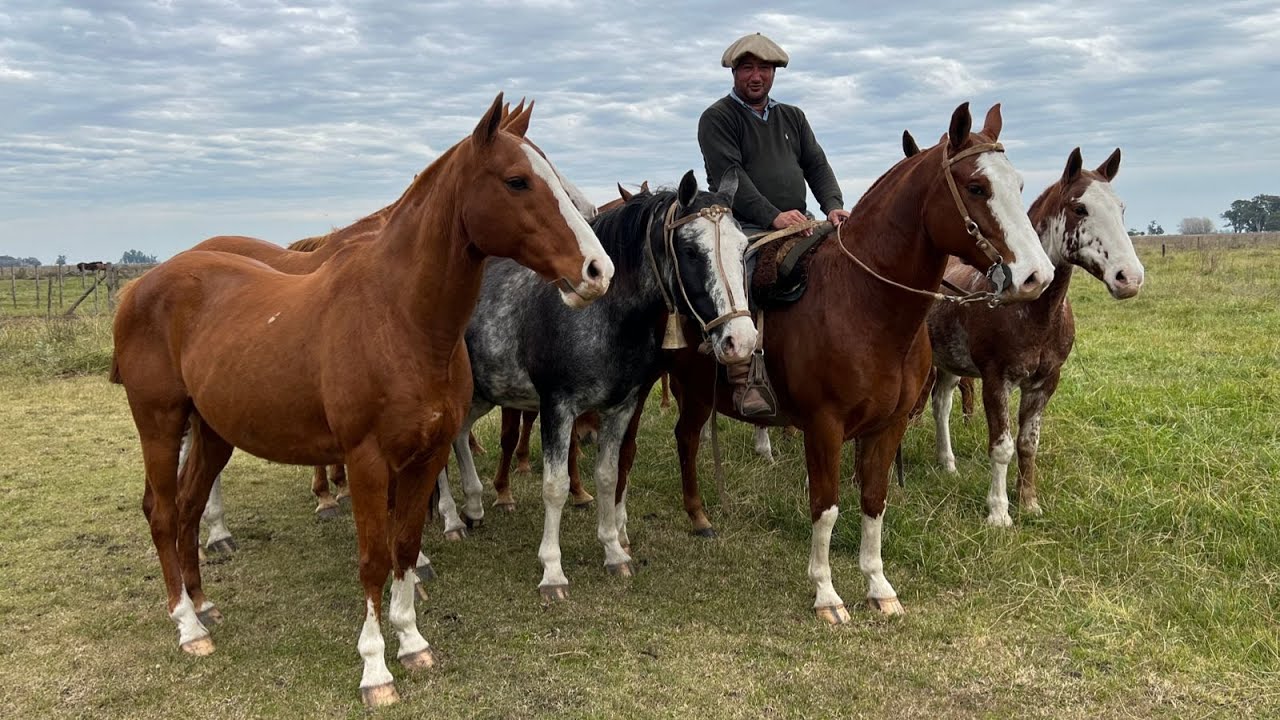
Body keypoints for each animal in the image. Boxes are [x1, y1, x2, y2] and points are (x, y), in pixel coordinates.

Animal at [109, 93, 614, 707]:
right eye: (517, 180)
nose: (598, 270)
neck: (397, 318)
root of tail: (140, 286)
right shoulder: (367, 460)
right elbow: (374, 559)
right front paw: (376, 669)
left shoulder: (424, 456)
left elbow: (405, 547)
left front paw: (413, 643)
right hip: (160, 424)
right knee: (162, 513)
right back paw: (186, 626)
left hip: (212, 432)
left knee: (187, 507)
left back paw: (203, 607)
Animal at [439, 170, 757, 599]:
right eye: (691, 251)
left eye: (743, 248)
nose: (741, 340)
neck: (602, 313)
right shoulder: (557, 407)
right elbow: (555, 485)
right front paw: (552, 572)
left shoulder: (621, 407)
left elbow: (609, 475)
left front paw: (614, 552)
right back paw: (451, 521)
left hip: (481, 393)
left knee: (459, 435)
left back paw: (472, 508)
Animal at [665, 102, 1055, 623]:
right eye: (976, 187)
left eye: (1020, 184)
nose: (1037, 275)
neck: (864, 304)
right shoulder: (823, 427)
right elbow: (826, 506)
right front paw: (826, 595)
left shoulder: (888, 425)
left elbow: (873, 501)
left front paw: (878, 587)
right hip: (688, 392)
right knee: (685, 439)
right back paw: (696, 516)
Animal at [927, 146, 1143, 525]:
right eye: (1080, 208)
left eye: (1121, 208)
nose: (1129, 277)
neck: (1033, 313)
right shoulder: (995, 381)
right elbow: (1002, 447)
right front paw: (998, 512)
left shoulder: (1045, 382)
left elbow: (1028, 443)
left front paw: (1029, 502)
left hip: (949, 363)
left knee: (942, 406)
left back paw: (948, 464)